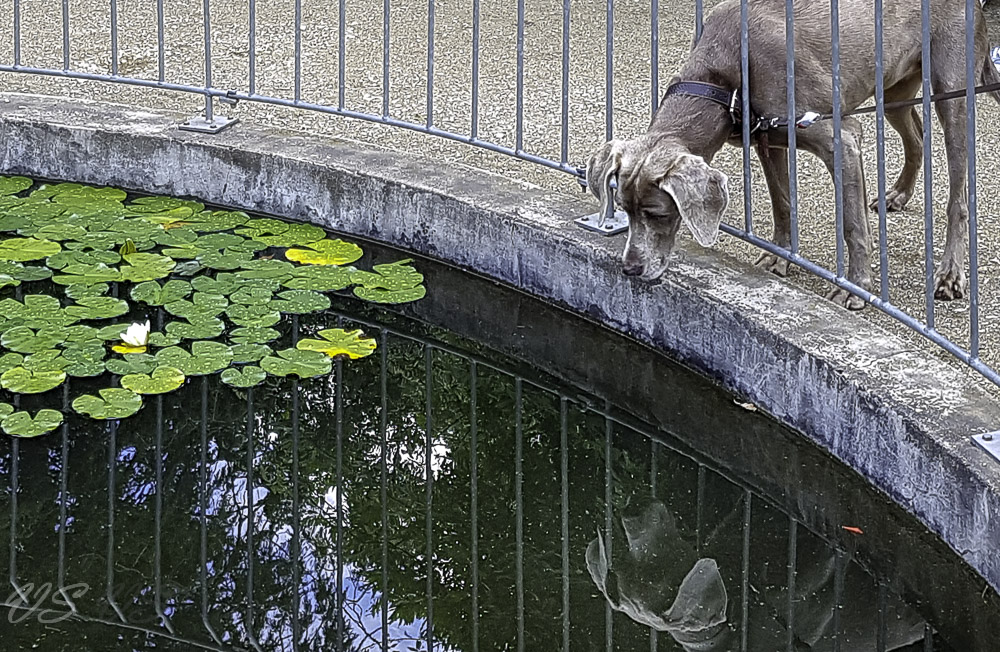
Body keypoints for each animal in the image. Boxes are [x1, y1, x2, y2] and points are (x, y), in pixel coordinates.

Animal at [584, 0, 1000, 310]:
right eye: (624, 208)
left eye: (657, 213)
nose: (630, 269)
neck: (722, 78)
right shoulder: (767, 140)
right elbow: (782, 204)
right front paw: (778, 257)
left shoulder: (842, 140)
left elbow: (853, 226)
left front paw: (855, 288)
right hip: (895, 86)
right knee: (917, 135)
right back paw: (898, 194)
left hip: (952, 90)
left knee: (959, 194)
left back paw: (950, 274)